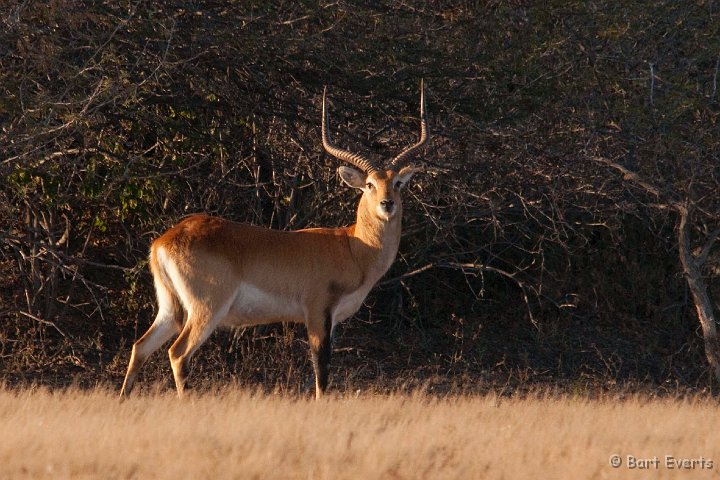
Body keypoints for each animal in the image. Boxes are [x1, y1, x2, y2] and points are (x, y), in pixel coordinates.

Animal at [119, 81, 428, 398]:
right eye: (369, 184)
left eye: (397, 183)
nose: (387, 204)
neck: (352, 246)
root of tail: (164, 241)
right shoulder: (317, 313)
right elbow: (321, 370)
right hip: (207, 309)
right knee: (178, 353)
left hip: (171, 308)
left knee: (140, 347)